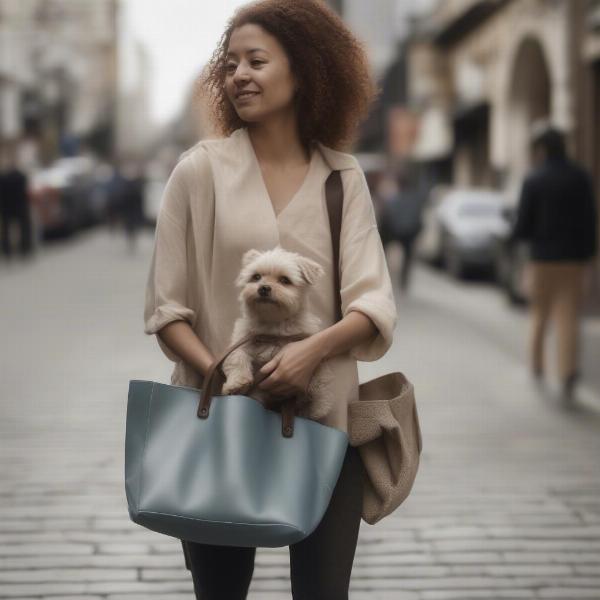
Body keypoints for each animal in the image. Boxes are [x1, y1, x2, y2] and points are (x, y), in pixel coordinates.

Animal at [220, 245, 336, 422]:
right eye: (256, 277)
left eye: (285, 280)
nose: (263, 288)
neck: (274, 326)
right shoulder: (241, 340)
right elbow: (236, 357)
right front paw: (236, 383)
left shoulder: (307, 345)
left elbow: (319, 376)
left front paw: (316, 403)